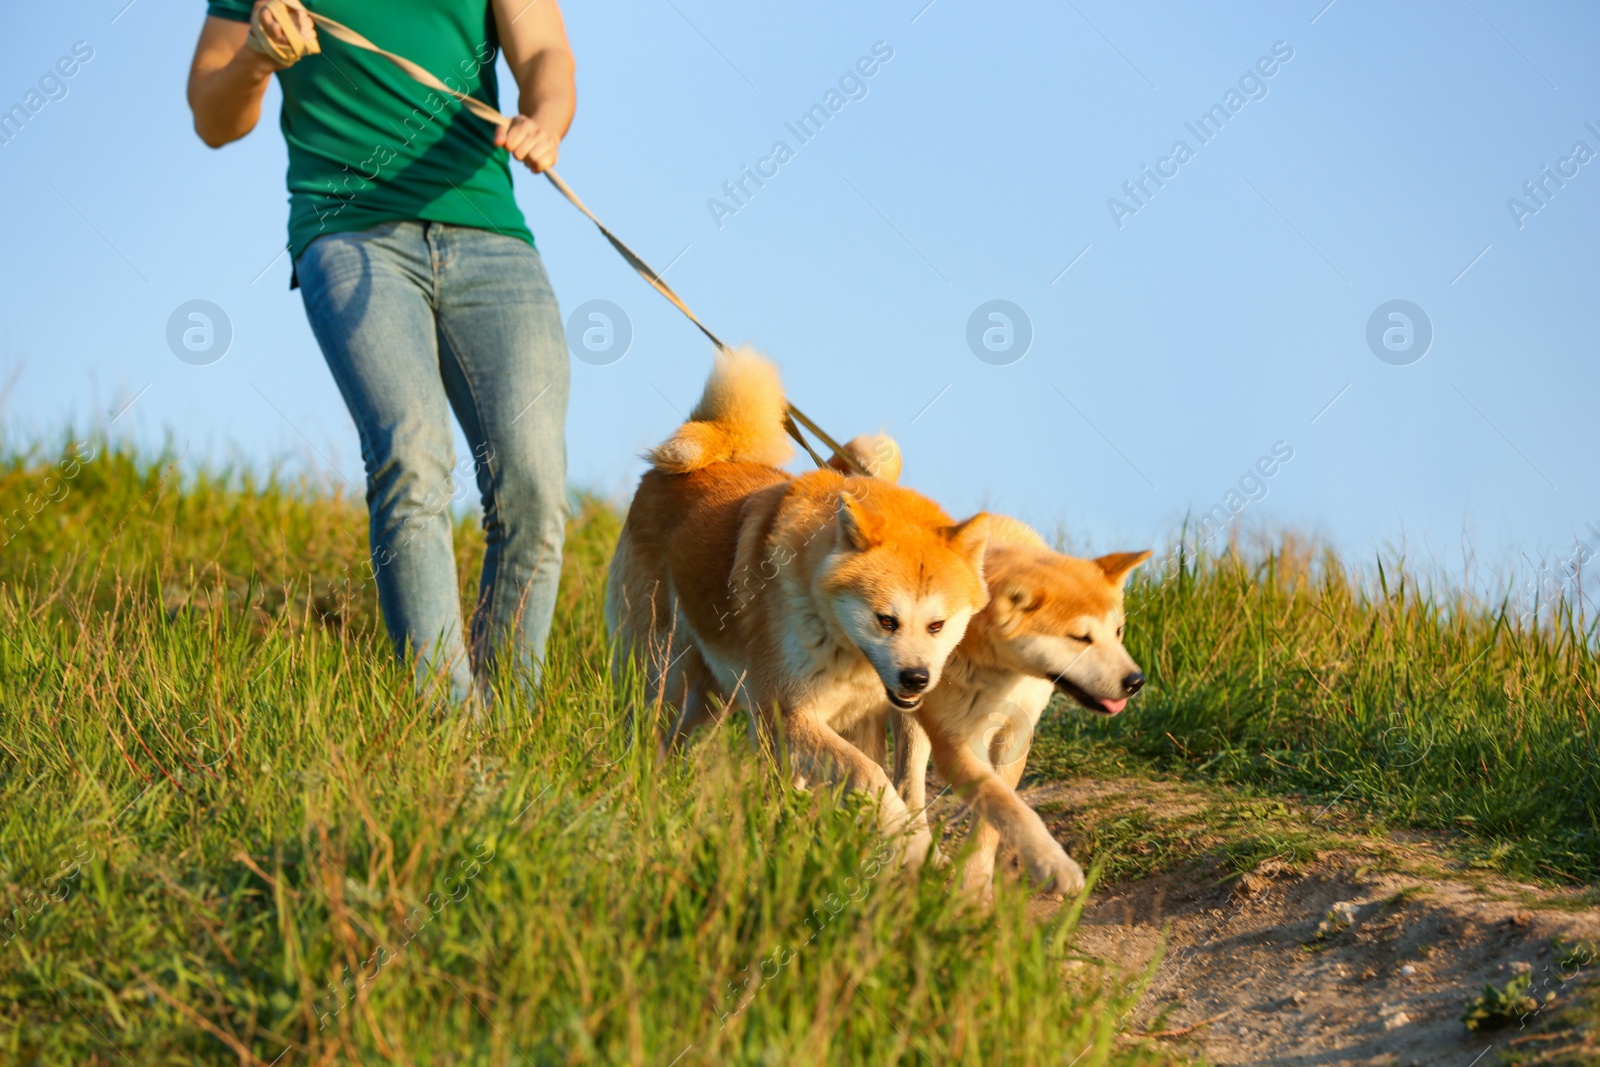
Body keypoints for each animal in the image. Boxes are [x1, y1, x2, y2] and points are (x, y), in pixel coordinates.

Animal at [608, 350, 992, 857]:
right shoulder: (786, 712)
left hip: (717, 696)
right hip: (662, 670)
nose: (916, 678)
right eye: (885, 620)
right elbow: (871, 775)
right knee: (647, 732)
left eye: (937, 625)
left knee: (677, 741)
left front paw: (920, 849)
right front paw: (899, 839)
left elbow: (908, 780)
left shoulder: (887, 713)